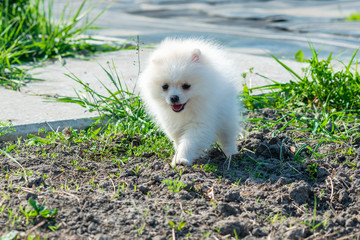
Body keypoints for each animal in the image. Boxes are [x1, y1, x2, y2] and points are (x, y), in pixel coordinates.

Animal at [139, 38, 240, 167]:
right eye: (165, 86)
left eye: (186, 86)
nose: (174, 97)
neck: (186, 110)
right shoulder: (173, 124)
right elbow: (178, 141)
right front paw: (177, 157)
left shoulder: (199, 123)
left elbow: (189, 142)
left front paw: (182, 158)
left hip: (227, 117)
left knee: (227, 137)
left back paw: (231, 155)